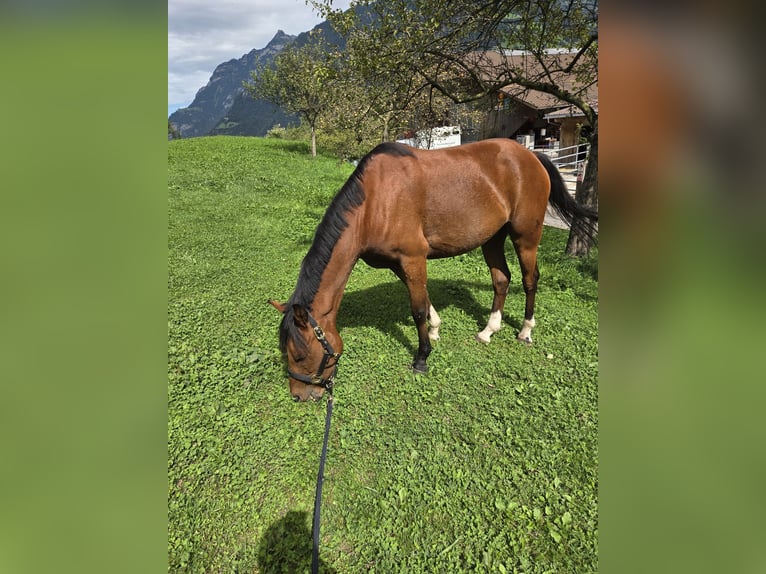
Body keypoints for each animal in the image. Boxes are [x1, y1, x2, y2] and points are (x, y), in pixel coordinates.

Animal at [269, 138, 597, 401]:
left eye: (299, 354)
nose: (299, 395)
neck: (375, 201)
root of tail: (531, 156)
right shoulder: (399, 263)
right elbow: (425, 301)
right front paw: (436, 329)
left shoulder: (413, 258)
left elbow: (416, 310)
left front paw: (422, 357)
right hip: (493, 238)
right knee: (502, 280)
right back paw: (488, 331)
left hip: (525, 236)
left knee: (530, 280)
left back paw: (526, 330)